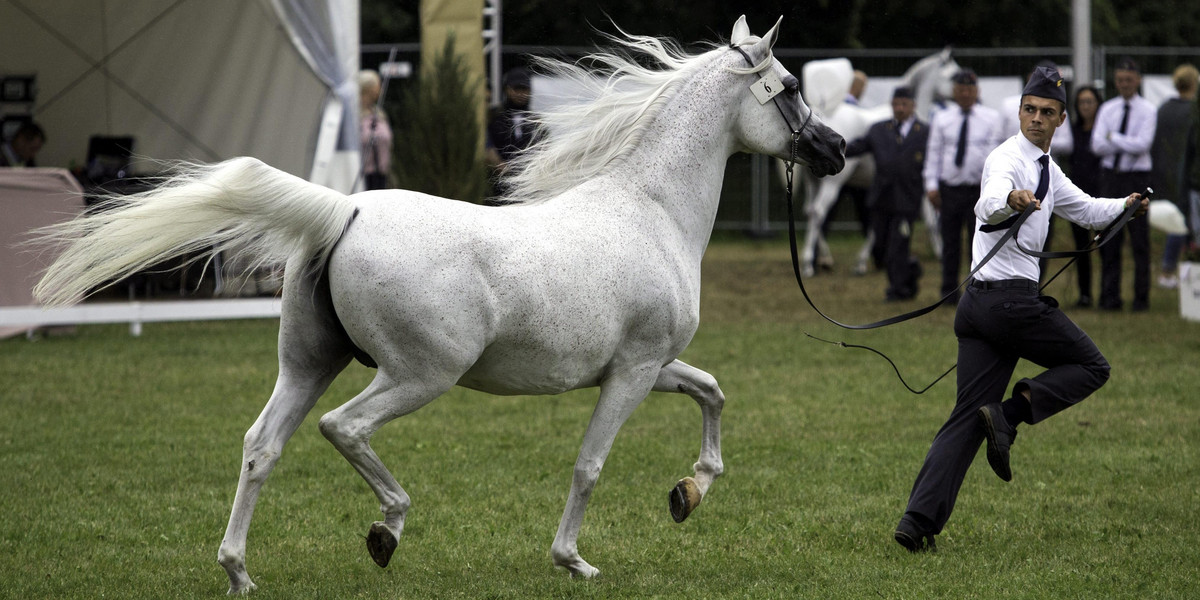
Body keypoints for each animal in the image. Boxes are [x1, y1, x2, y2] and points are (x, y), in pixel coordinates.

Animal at [35, 16, 844, 592]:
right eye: (789, 87)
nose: (834, 149)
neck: (649, 209)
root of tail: (346, 211)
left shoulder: (653, 365)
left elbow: (713, 392)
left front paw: (688, 492)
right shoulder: (634, 370)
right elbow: (590, 464)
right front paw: (574, 560)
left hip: (309, 364)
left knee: (262, 445)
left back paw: (239, 571)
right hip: (418, 375)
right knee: (343, 427)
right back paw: (385, 529)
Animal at [787, 47, 964, 276]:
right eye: (954, 75)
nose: (966, 94)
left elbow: (875, 223)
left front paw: (864, 261)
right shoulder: (919, 183)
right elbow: (929, 219)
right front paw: (941, 252)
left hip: (814, 182)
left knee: (810, 212)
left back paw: (823, 259)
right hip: (832, 184)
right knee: (818, 212)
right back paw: (809, 263)